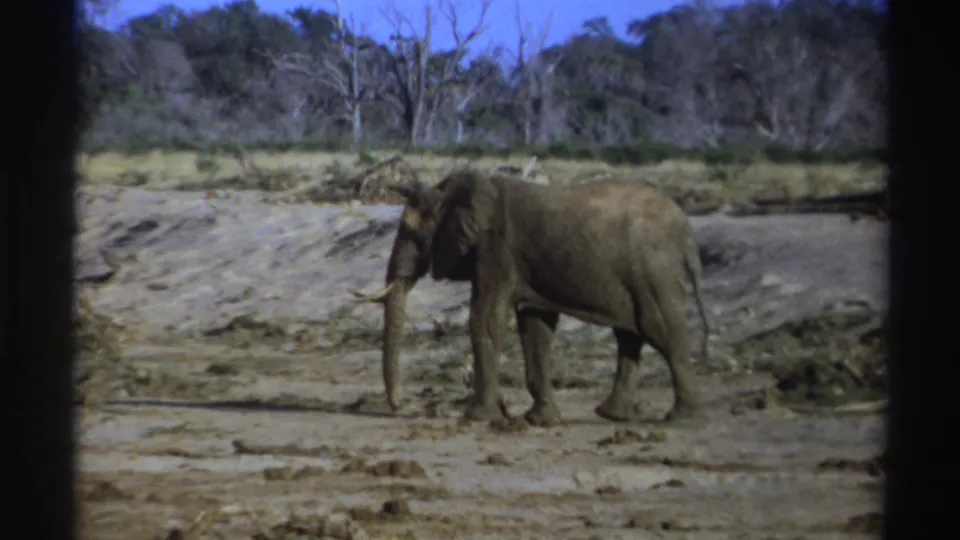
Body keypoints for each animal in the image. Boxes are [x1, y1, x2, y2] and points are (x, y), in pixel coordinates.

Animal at [350, 169, 711, 426]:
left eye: (412, 233)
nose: (401, 405)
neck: (454, 191)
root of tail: (687, 232)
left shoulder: (496, 248)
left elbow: (486, 318)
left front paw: (477, 418)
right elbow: (535, 326)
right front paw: (539, 421)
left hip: (652, 270)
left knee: (660, 331)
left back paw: (682, 418)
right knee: (629, 336)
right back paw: (613, 415)